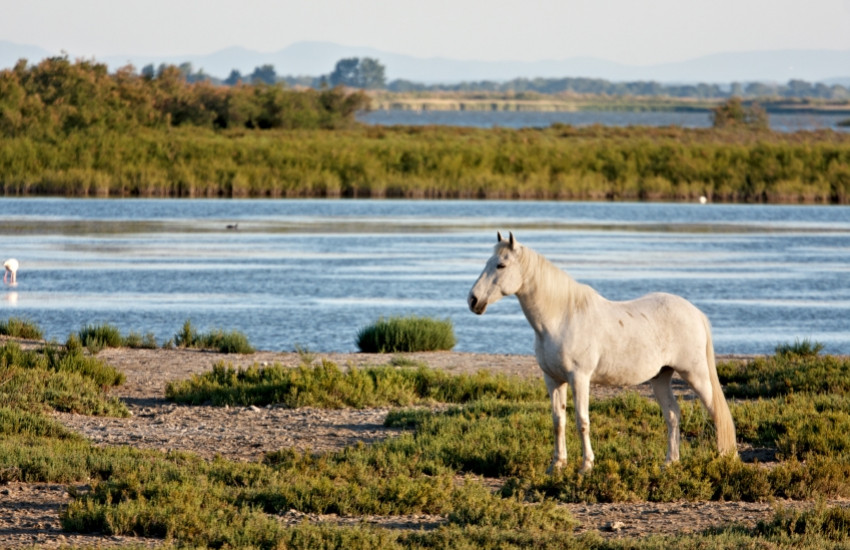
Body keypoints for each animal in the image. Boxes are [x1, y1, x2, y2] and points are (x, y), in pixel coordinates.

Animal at [468, 233, 732, 474]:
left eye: (501, 265)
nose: (473, 300)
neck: (561, 319)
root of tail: (695, 312)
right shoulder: (553, 379)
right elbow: (558, 421)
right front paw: (557, 465)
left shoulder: (580, 378)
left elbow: (582, 421)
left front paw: (586, 466)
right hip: (660, 377)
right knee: (673, 415)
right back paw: (670, 463)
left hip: (695, 374)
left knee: (715, 412)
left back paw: (723, 459)